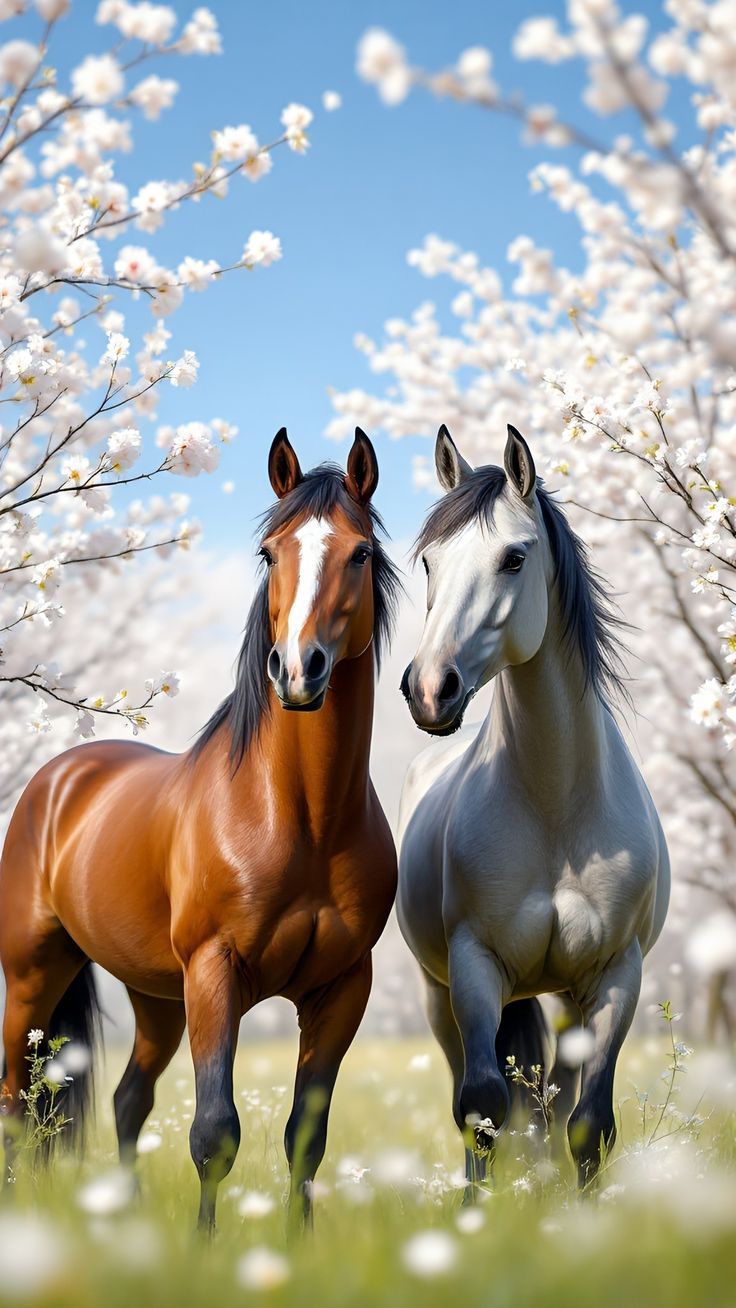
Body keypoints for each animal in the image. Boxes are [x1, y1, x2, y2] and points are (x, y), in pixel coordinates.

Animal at [0, 427, 400, 1233]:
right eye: (270, 554)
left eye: (359, 554)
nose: (299, 670)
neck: (299, 817)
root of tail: (58, 779)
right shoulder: (215, 973)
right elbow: (215, 1132)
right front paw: (207, 1247)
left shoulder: (343, 987)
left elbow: (305, 1136)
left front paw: (297, 1244)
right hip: (32, 974)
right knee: (13, 1103)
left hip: (153, 996)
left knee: (125, 1099)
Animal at [397, 424, 670, 1189]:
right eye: (428, 562)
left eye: (513, 558)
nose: (430, 689)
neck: (557, 808)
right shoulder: (476, 966)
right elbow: (482, 1105)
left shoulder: (616, 975)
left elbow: (590, 1125)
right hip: (439, 996)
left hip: (568, 998)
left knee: (559, 1100)